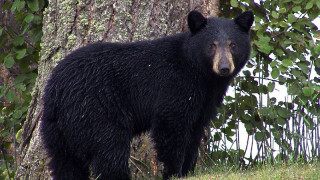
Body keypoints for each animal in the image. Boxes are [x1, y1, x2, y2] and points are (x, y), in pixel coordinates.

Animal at [41, 10, 254, 179]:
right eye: (212, 45)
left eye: (233, 45)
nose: (224, 68)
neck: (200, 74)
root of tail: (57, 90)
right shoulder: (175, 86)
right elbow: (171, 128)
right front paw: (174, 173)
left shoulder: (204, 101)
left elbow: (195, 132)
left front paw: (188, 171)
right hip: (96, 110)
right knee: (110, 149)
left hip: (57, 129)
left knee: (64, 162)